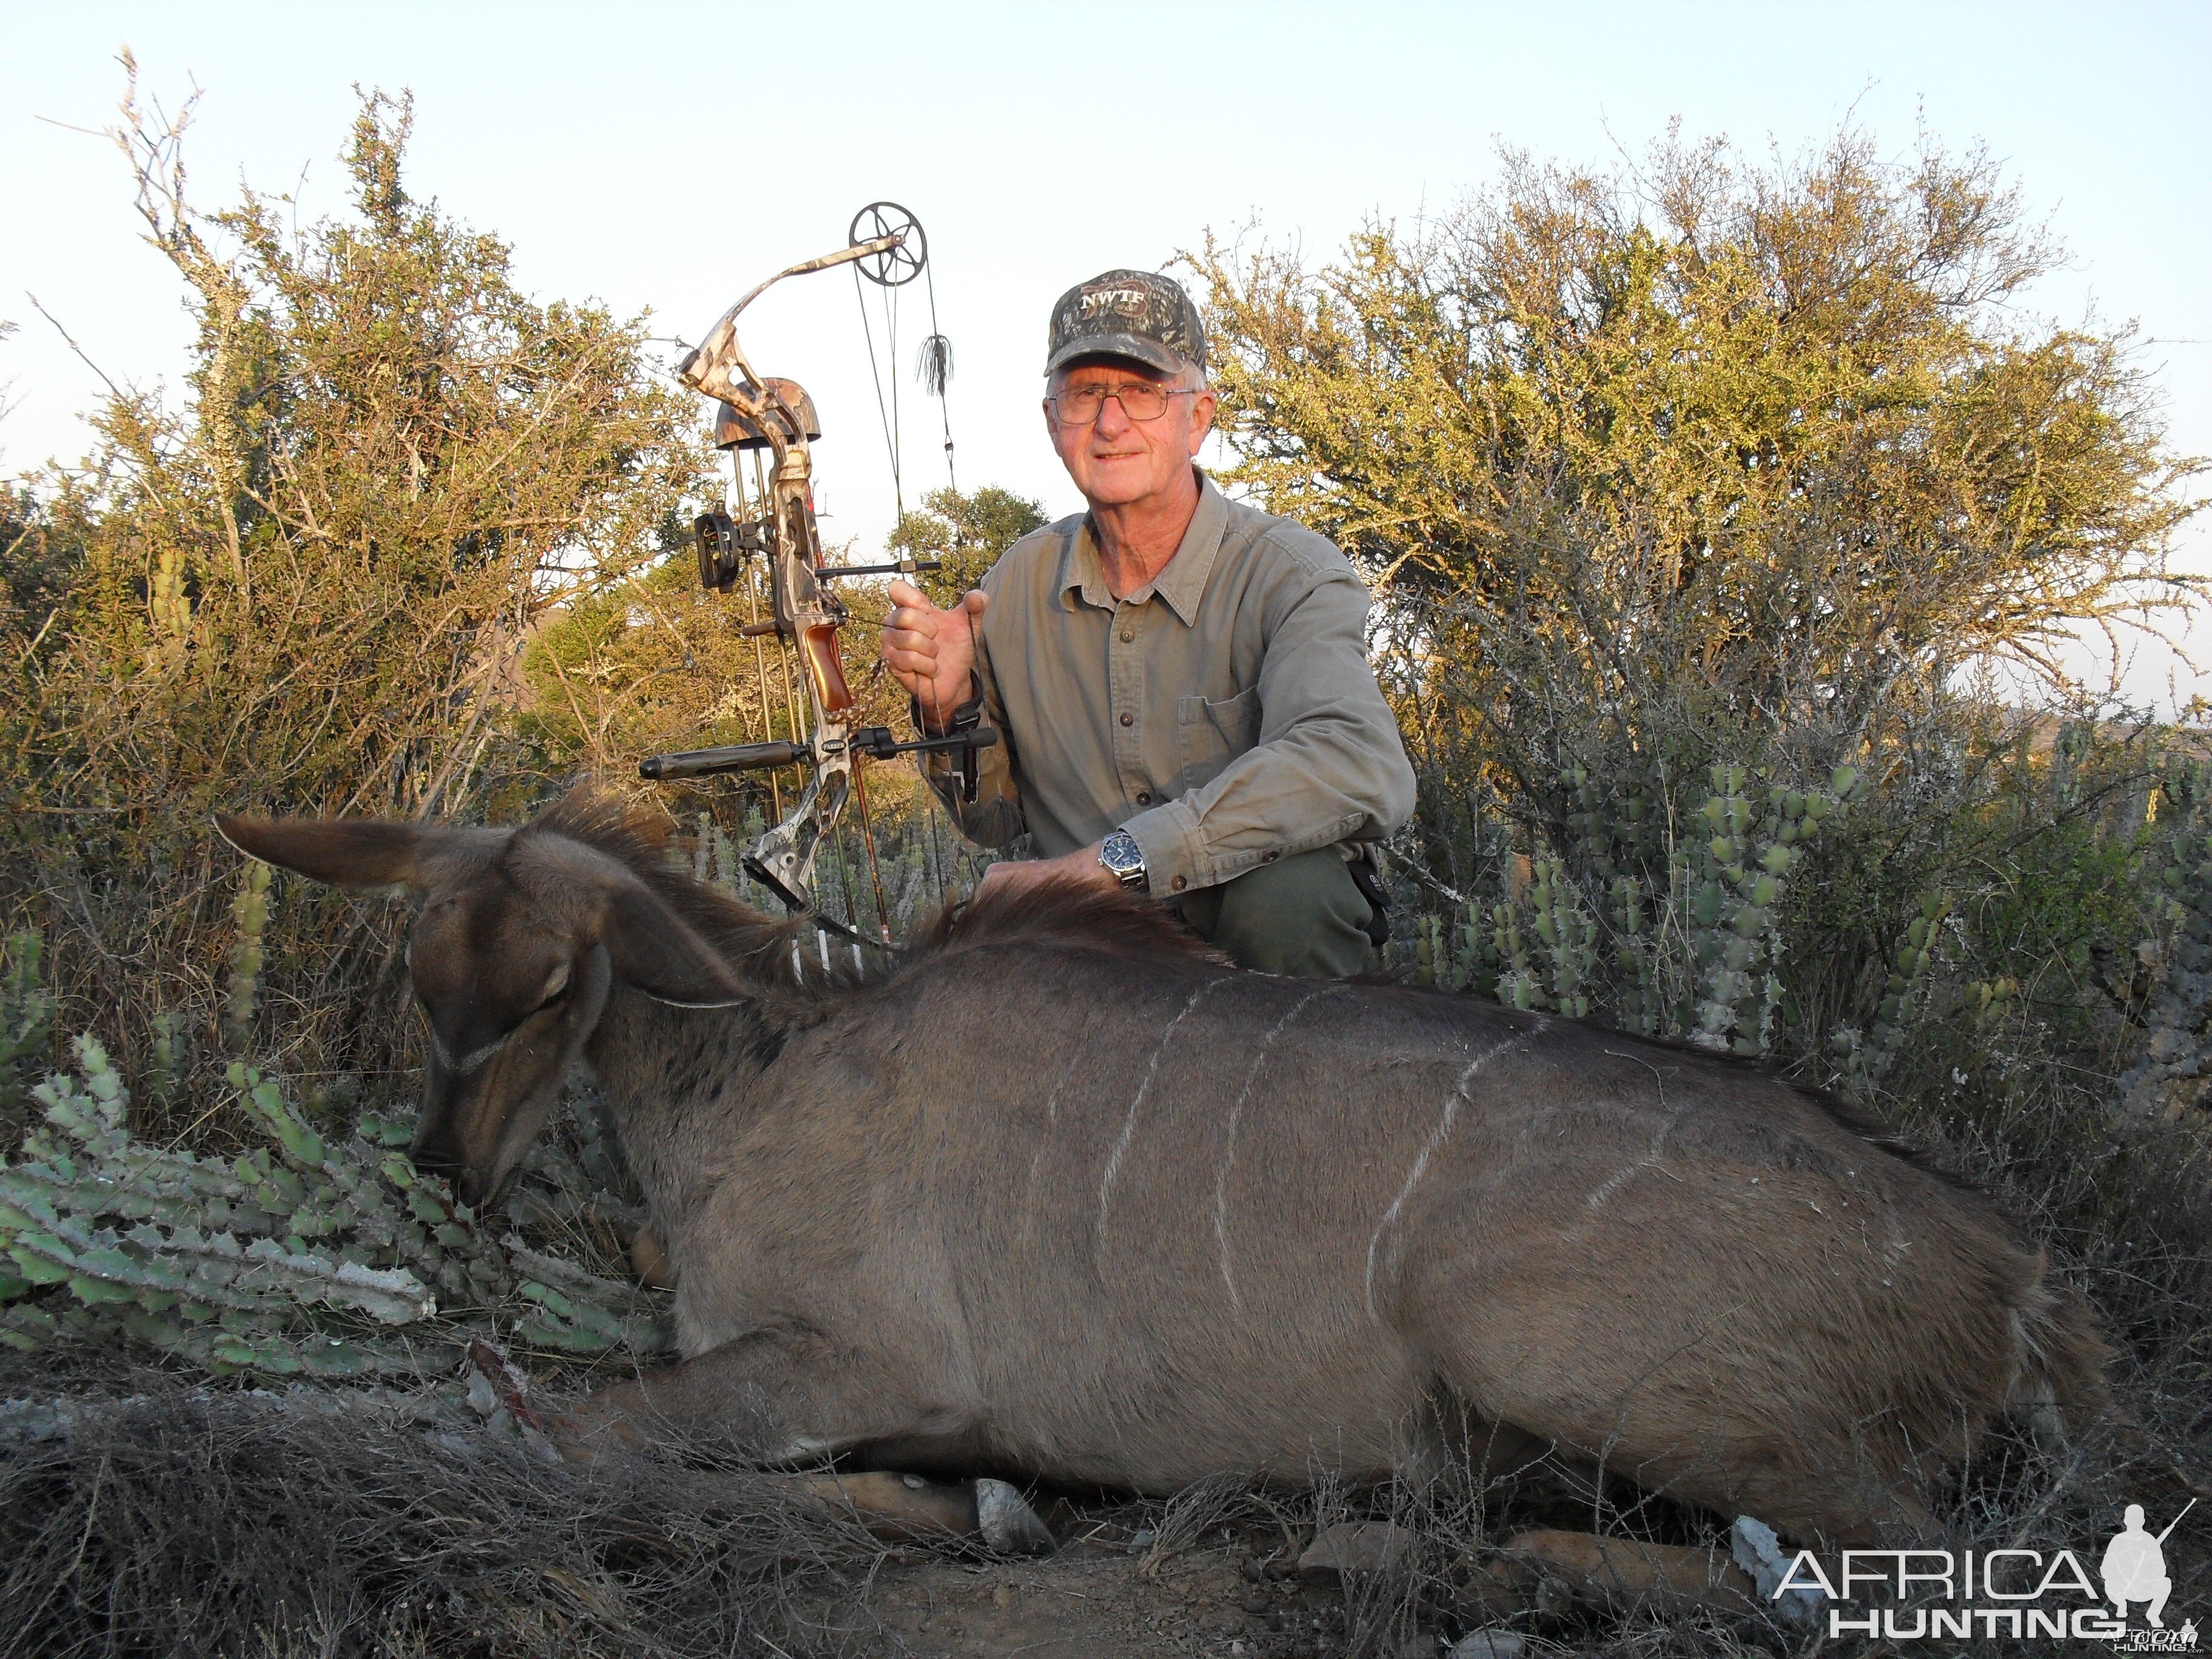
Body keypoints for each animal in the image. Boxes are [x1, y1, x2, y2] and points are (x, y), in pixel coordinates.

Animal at [220, 800, 2105, 1566]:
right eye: (414, 970)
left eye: (547, 988)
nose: (442, 1168)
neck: (767, 1067)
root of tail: (2009, 1272)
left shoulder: (871, 1357)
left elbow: (568, 1423)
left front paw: (978, 1504)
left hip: (1605, 1377)